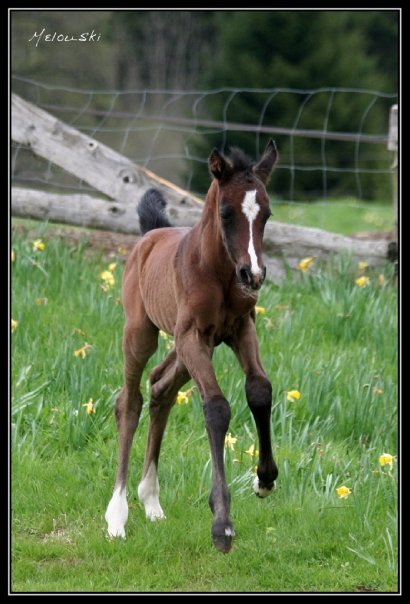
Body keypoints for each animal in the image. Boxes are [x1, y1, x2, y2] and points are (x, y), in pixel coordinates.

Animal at [105, 140, 278, 552]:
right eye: (226, 212)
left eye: (266, 214)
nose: (254, 275)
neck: (218, 273)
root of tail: (151, 235)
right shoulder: (192, 336)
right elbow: (216, 407)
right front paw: (222, 525)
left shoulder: (240, 329)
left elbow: (260, 390)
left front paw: (264, 479)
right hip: (143, 333)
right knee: (129, 401)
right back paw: (117, 516)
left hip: (191, 349)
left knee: (161, 387)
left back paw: (151, 501)